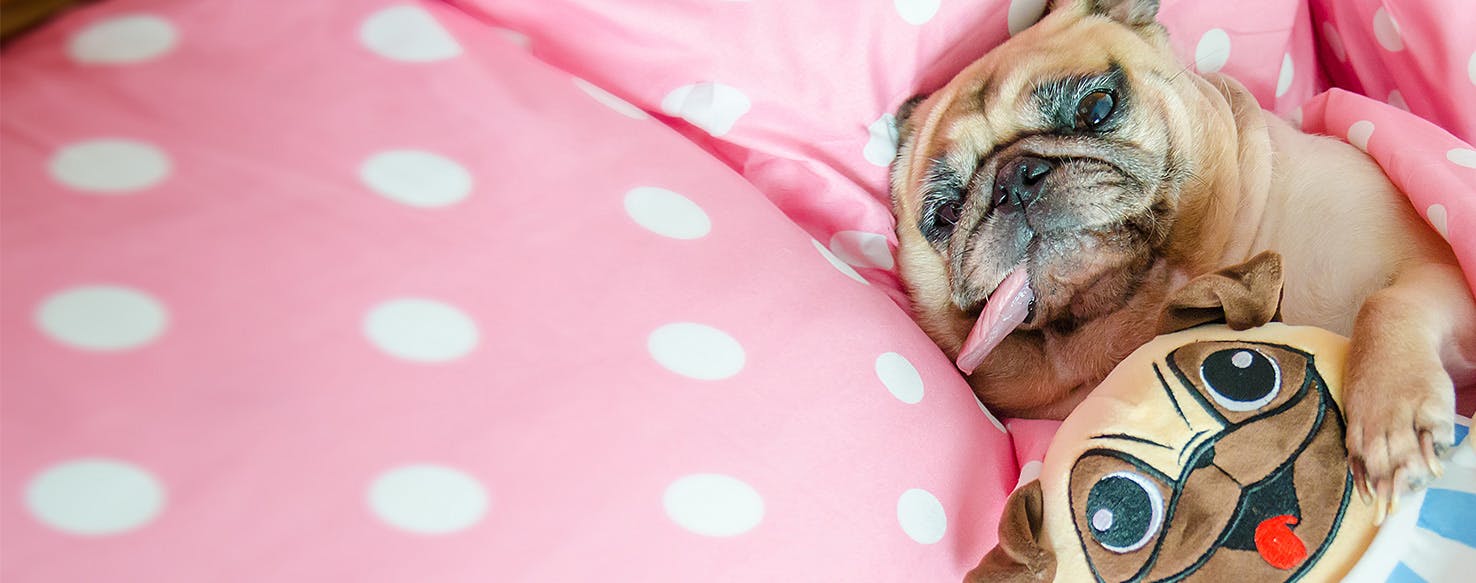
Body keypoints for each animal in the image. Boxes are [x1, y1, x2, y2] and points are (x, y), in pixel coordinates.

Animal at [885, 0, 1476, 522]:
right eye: (945, 213)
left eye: (1096, 108)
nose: (1014, 180)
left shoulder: (1442, 272)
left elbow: (1387, 303)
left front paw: (1390, 413)